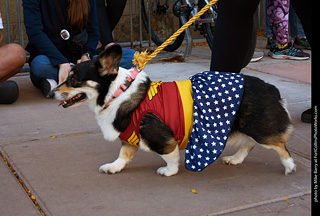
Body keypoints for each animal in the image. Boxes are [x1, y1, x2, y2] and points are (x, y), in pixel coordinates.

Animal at [48, 44, 296, 176]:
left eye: (73, 80)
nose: (51, 94)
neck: (117, 93)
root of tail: (271, 88)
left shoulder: (160, 137)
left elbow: (171, 157)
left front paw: (168, 171)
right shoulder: (131, 137)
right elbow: (123, 155)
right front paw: (113, 167)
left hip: (261, 130)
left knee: (280, 145)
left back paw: (290, 166)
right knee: (248, 144)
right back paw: (235, 159)